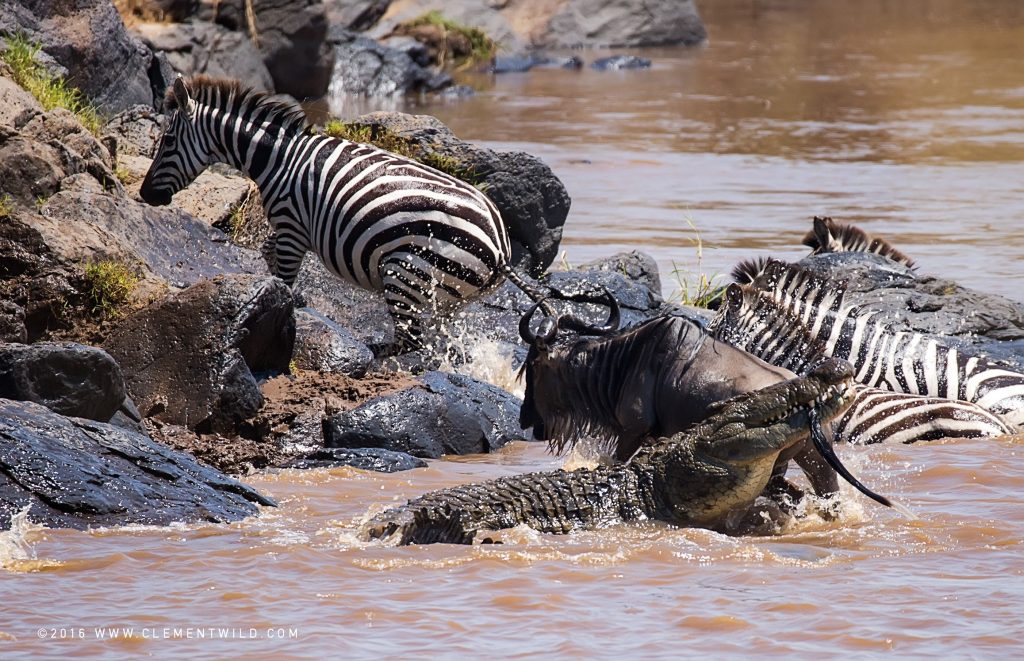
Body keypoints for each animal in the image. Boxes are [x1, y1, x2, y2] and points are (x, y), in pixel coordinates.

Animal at [139, 75, 548, 356]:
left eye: (168, 141)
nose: (144, 195)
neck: (278, 159)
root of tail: (499, 245)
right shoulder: (287, 230)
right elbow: (268, 253)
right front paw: (288, 298)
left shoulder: (292, 228)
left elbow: (283, 274)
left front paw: (281, 310)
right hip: (450, 299)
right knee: (436, 343)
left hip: (406, 274)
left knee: (411, 343)